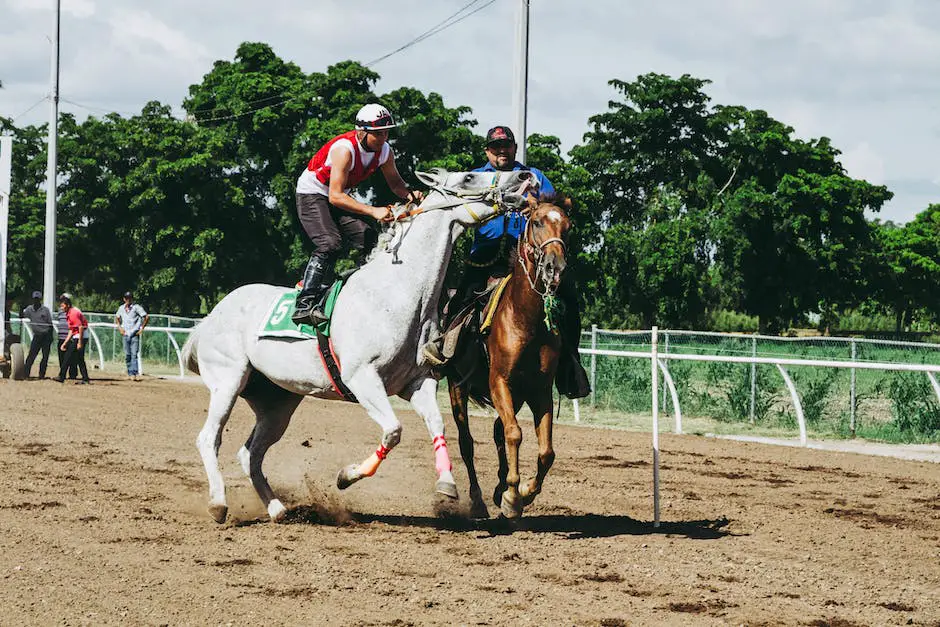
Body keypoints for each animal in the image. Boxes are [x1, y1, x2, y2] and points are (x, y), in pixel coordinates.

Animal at [180, 168, 532, 524]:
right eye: (470, 177)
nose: (521, 176)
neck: (397, 293)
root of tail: (210, 317)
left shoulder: (418, 381)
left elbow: (437, 424)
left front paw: (447, 484)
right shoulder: (362, 377)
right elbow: (393, 430)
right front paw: (346, 476)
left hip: (277, 401)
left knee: (250, 452)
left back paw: (277, 508)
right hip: (228, 381)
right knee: (208, 438)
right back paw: (218, 504)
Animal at [448, 196, 572, 520]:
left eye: (567, 226)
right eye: (537, 222)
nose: (555, 267)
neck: (526, 320)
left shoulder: (539, 390)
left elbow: (546, 451)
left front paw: (524, 491)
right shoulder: (500, 382)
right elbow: (514, 433)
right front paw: (513, 496)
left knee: (497, 430)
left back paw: (497, 488)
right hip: (457, 386)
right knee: (467, 443)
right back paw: (478, 499)